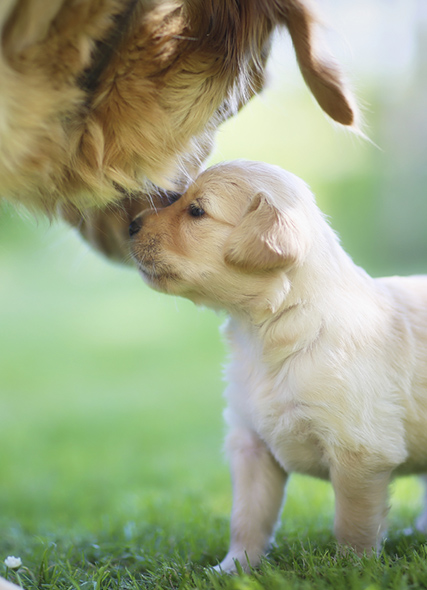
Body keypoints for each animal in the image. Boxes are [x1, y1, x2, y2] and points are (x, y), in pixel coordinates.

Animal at [129, 161, 427, 572]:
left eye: (197, 211)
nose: (130, 225)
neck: (272, 331)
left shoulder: (361, 452)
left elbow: (353, 523)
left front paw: (352, 569)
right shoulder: (252, 444)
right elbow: (247, 517)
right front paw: (234, 568)